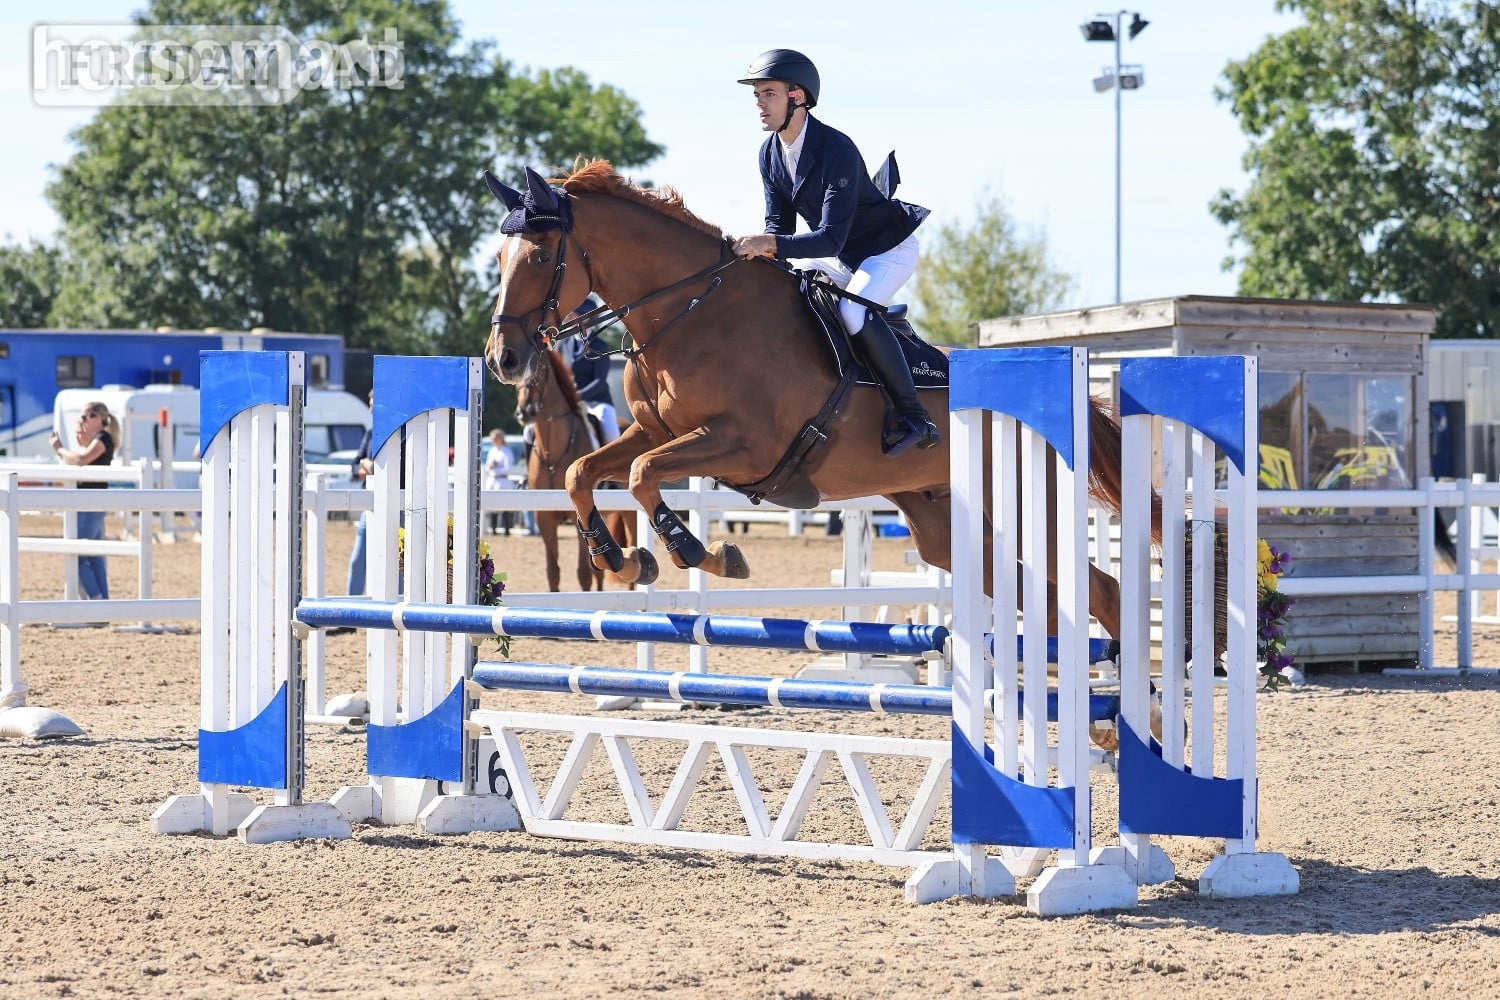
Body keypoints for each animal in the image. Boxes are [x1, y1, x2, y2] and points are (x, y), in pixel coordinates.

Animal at [516, 346, 635, 592]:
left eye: (539, 370)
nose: (525, 413)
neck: (553, 451)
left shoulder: (577, 515)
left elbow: (584, 574)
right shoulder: (545, 518)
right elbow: (553, 572)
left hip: (629, 512)